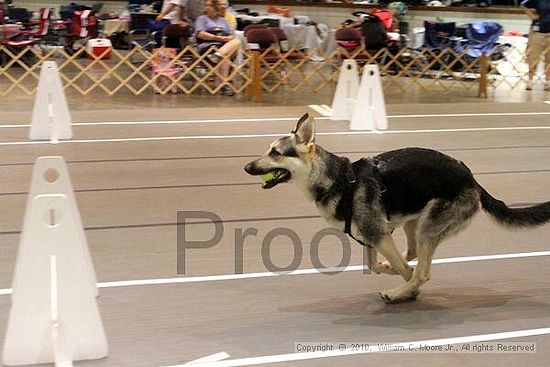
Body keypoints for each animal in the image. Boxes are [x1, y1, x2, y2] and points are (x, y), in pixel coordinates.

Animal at [245, 113, 550, 304]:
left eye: (276, 153)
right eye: (269, 149)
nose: (247, 167)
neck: (338, 180)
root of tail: (470, 177)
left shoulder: (377, 235)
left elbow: (408, 271)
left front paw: (408, 289)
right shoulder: (372, 237)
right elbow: (376, 264)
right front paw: (390, 269)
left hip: (427, 227)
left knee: (423, 270)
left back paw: (398, 292)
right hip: (413, 223)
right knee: (413, 253)